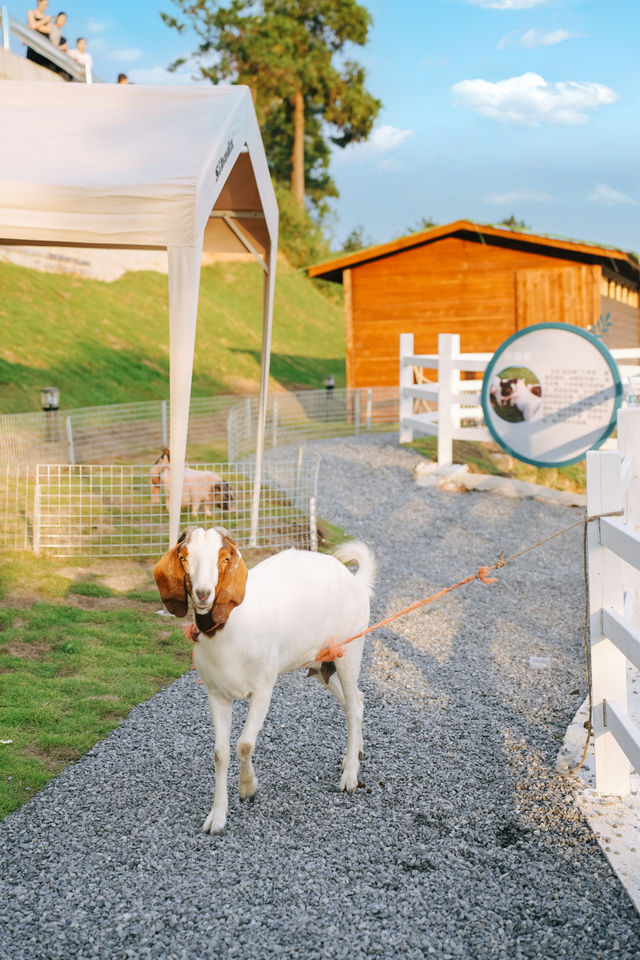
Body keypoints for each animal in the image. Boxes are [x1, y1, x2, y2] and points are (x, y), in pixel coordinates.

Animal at [154, 524, 376, 832]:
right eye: (184, 557)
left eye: (225, 558)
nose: (202, 593)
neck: (232, 627)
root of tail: (355, 581)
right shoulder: (216, 694)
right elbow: (220, 753)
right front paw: (217, 817)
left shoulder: (263, 689)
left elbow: (245, 744)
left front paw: (248, 789)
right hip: (322, 664)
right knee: (356, 699)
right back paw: (353, 757)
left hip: (349, 651)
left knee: (354, 707)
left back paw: (350, 778)